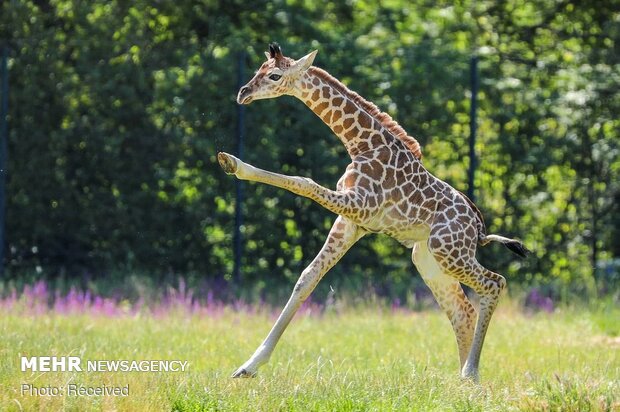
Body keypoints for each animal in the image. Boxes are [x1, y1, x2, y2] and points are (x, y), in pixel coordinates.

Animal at [218, 43, 528, 382]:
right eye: (257, 70)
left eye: (274, 75)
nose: (243, 93)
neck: (362, 144)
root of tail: (479, 229)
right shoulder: (351, 222)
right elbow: (306, 279)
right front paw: (248, 366)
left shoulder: (360, 205)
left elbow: (304, 183)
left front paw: (233, 163)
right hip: (429, 259)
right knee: (462, 311)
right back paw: (465, 382)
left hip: (448, 250)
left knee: (494, 284)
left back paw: (470, 373)